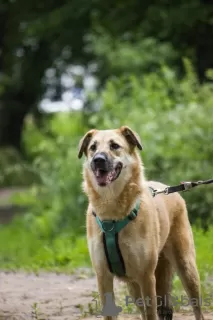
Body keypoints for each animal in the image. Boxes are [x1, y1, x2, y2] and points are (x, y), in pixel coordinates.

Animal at [78, 125, 205, 320]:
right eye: (93, 147)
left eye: (114, 145)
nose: (98, 160)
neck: (112, 212)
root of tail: (168, 189)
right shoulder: (103, 277)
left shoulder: (146, 276)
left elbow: (151, 313)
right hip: (134, 285)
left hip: (186, 267)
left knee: (196, 307)